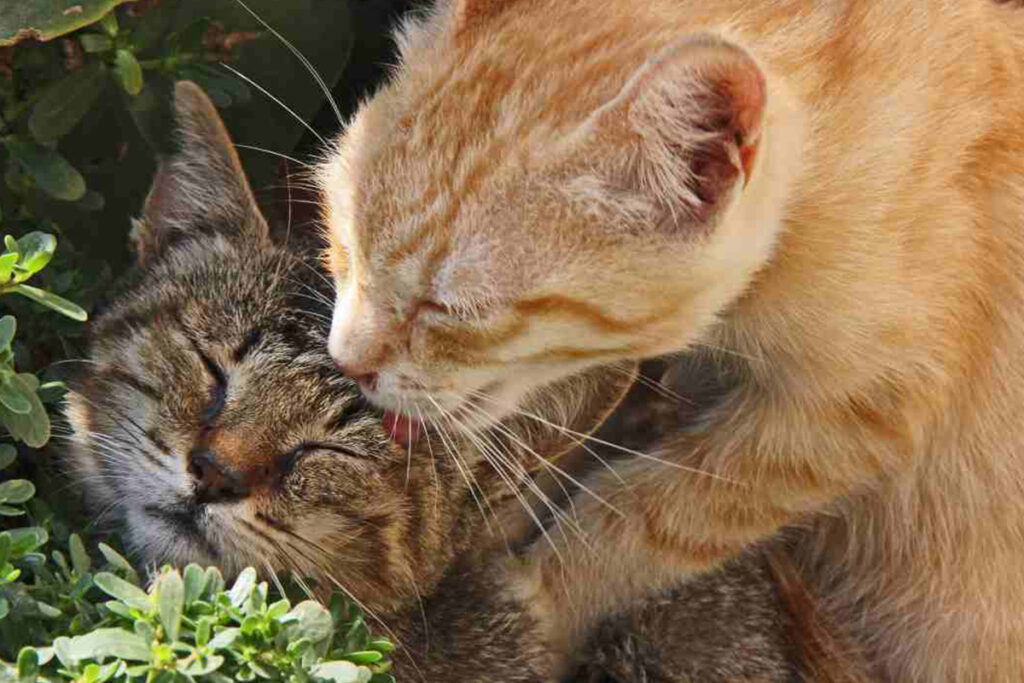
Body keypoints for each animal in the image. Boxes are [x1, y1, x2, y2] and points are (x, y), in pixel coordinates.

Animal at [319, 2, 1024, 679]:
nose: (346, 362)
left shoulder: (858, 408)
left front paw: (541, 596)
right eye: (343, 243)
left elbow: (658, 511)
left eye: (454, 309)